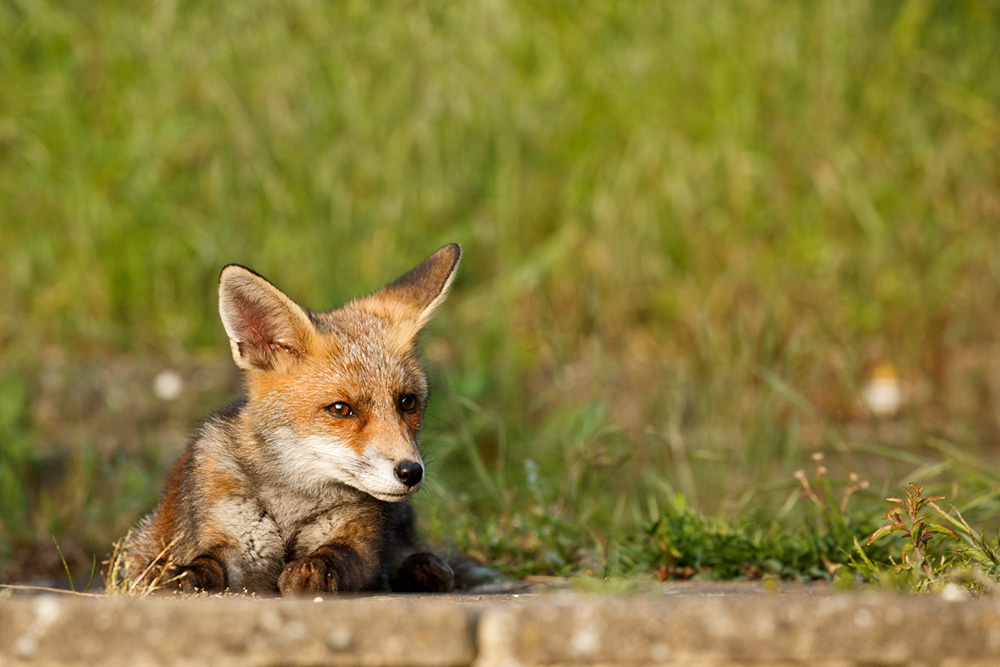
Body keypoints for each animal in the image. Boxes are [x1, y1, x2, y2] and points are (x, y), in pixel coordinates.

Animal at [125, 243, 470, 596]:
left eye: (407, 402)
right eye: (340, 409)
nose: (410, 472)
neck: (293, 501)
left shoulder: (360, 540)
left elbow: (338, 554)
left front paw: (313, 568)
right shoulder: (232, 539)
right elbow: (205, 564)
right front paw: (180, 576)